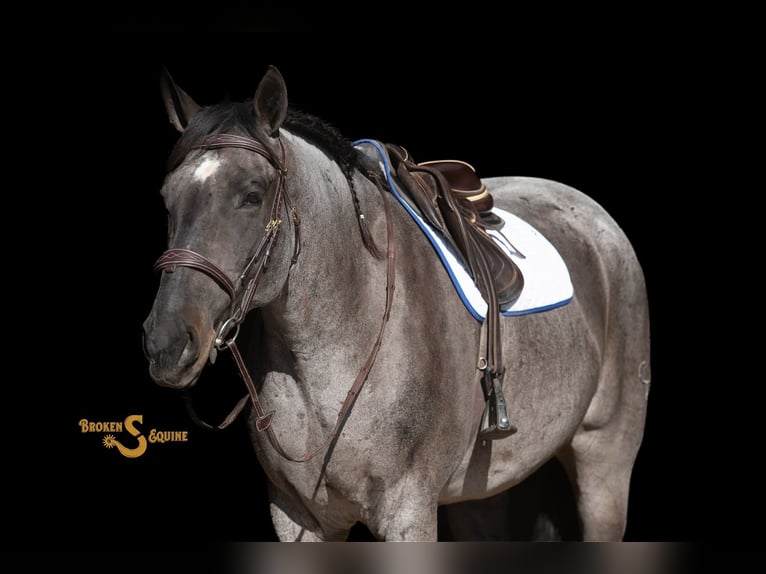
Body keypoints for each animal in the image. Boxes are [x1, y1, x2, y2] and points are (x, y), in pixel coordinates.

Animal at [142, 65, 651, 541]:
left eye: (252, 195)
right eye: (167, 198)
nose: (166, 343)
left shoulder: (408, 512)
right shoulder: (295, 517)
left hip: (604, 466)